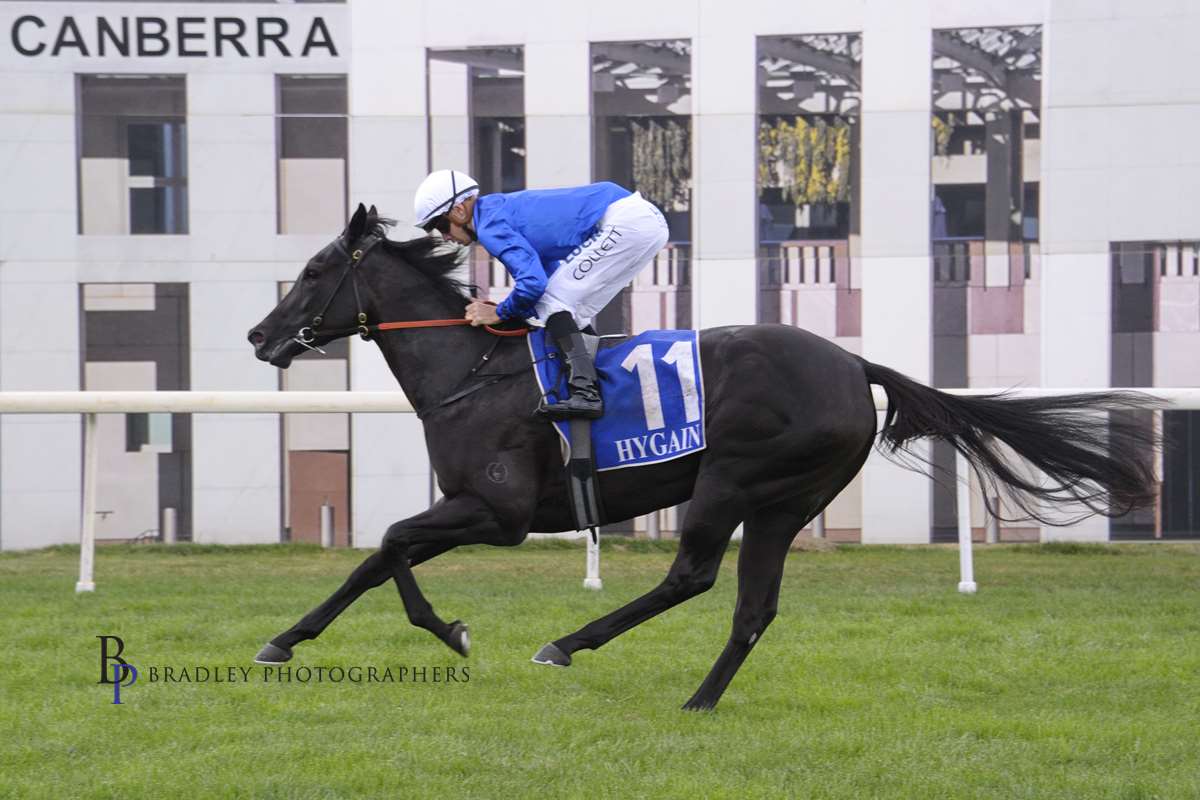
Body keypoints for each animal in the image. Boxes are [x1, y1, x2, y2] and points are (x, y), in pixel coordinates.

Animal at [246, 204, 1158, 711]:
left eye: (317, 269)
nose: (259, 335)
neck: (470, 370)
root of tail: (853, 363)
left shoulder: (498, 512)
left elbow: (392, 541)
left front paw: (450, 631)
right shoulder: (472, 507)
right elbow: (376, 557)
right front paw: (286, 640)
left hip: (732, 480)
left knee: (692, 577)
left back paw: (569, 644)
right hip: (785, 502)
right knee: (752, 608)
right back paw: (700, 700)